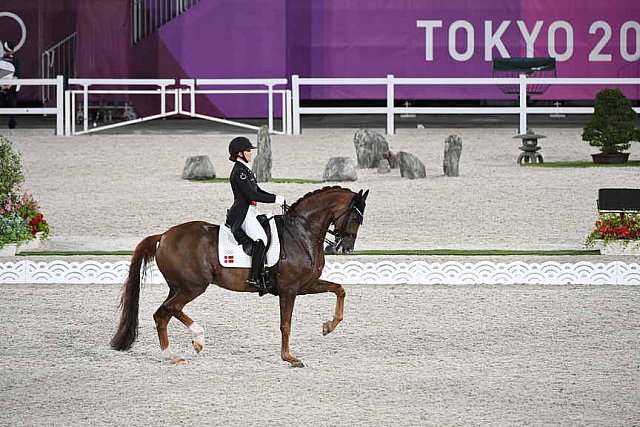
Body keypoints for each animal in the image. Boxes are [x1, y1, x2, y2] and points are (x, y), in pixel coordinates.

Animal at [112, 186, 368, 368]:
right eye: (356, 219)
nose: (345, 248)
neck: (302, 232)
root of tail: (164, 235)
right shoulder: (289, 289)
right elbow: (286, 324)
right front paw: (289, 358)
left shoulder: (305, 285)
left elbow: (339, 288)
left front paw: (328, 327)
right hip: (192, 287)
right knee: (171, 309)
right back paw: (198, 339)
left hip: (178, 287)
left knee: (162, 315)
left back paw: (173, 356)